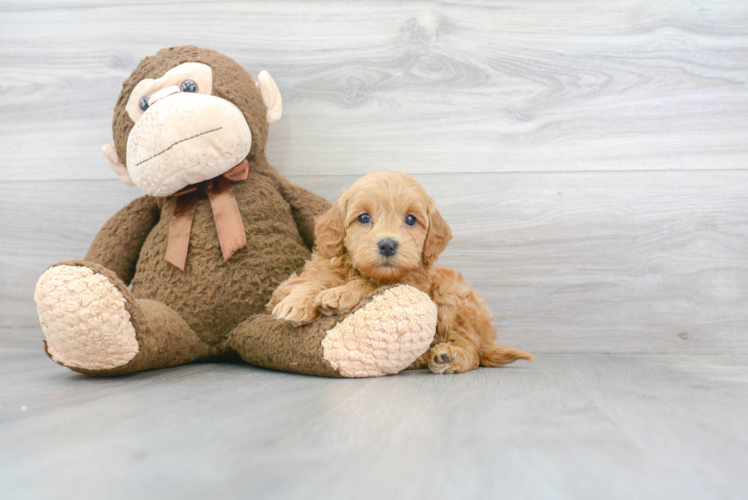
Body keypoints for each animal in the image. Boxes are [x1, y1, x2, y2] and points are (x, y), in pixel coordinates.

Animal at [268, 172, 532, 372]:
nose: (387, 245)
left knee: (472, 349)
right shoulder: (290, 285)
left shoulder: (410, 284)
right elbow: (309, 283)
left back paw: (447, 357)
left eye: (411, 219)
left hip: (451, 298)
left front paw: (339, 294)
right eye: (364, 217)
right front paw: (295, 305)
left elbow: (371, 284)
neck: (355, 270)